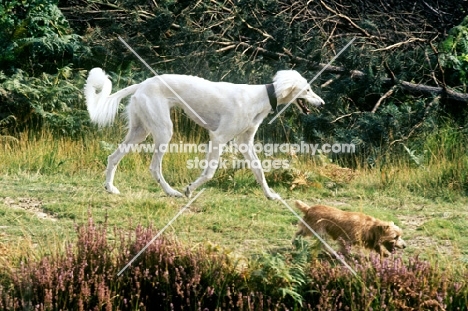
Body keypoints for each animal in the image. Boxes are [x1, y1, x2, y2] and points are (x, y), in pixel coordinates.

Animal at [84, 68, 324, 200]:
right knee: (154, 167)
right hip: (163, 130)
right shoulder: (218, 138)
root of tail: (142, 84)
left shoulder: (244, 142)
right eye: (308, 89)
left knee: (113, 157)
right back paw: (172, 192)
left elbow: (259, 171)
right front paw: (189, 189)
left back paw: (110, 188)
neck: (261, 97)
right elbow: (209, 172)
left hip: (139, 131)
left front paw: (270, 195)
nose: (322, 103)